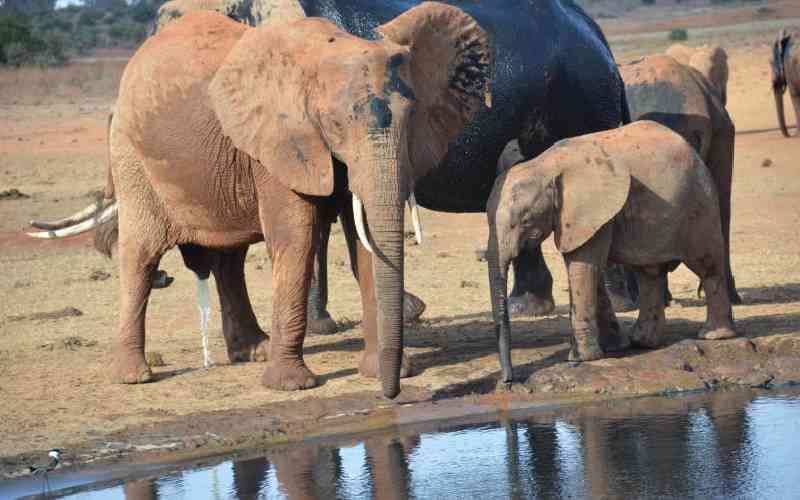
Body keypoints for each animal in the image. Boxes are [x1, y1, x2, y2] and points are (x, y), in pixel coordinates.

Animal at [40, 5, 492, 398]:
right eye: (334, 123)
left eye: (411, 116)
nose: (392, 393)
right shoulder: (278, 143)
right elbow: (296, 240)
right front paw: (292, 386)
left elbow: (364, 245)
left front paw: (380, 370)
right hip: (131, 156)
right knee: (142, 253)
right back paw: (135, 376)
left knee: (229, 258)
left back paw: (253, 351)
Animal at [487, 121, 736, 382]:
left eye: (525, 221)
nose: (508, 381)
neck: (545, 164)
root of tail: (691, 149)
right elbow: (590, 269)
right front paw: (612, 349)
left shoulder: (588, 210)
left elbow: (582, 267)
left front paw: (580, 359)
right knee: (649, 274)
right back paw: (643, 342)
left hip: (699, 204)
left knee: (706, 265)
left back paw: (713, 336)